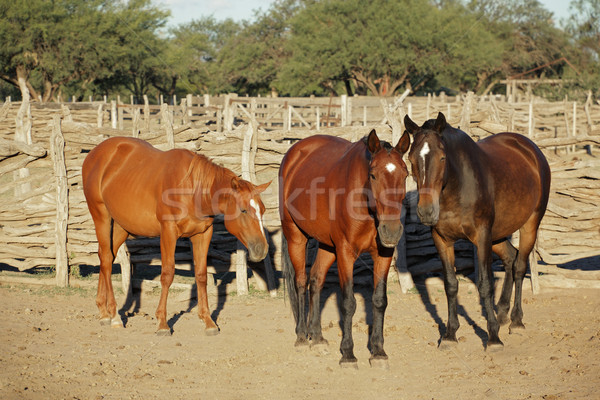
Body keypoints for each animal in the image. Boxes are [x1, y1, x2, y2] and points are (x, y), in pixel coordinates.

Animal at [82, 138, 270, 334]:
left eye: (263, 210)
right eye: (243, 210)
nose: (262, 249)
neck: (192, 190)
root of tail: (94, 154)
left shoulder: (203, 234)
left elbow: (201, 275)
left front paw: (208, 321)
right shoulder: (168, 233)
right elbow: (167, 274)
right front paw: (162, 323)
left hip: (121, 226)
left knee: (106, 258)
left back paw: (103, 311)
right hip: (101, 216)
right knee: (106, 258)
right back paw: (114, 315)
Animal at [278, 130, 410, 368]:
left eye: (405, 175)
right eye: (373, 175)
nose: (392, 231)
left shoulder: (383, 255)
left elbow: (379, 300)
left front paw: (378, 352)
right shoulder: (346, 254)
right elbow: (348, 303)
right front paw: (348, 354)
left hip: (327, 246)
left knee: (316, 280)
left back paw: (317, 338)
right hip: (296, 237)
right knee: (301, 282)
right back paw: (302, 336)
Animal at [406, 112, 552, 350]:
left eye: (442, 158)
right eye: (410, 159)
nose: (426, 211)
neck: (457, 187)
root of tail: (531, 149)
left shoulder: (482, 237)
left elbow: (485, 284)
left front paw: (493, 337)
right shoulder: (442, 240)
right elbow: (450, 284)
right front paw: (450, 334)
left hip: (529, 224)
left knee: (520, 266)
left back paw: (516, 321)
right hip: (498, 234)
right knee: (510, 258)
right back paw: (502, 313)